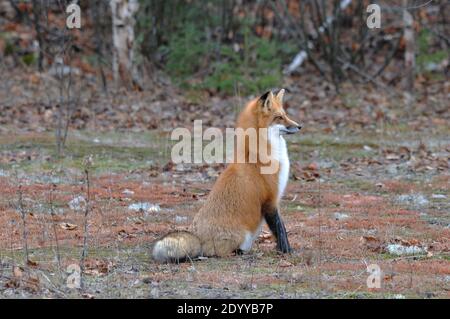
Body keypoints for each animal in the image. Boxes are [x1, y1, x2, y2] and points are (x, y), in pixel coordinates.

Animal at [151, 89, 302, 262]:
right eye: (279, 117)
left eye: (285, 115)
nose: (299, 126)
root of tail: (198, 238)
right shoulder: (270, 200)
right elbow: (280, 230)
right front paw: (287, 251)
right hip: (241, 235)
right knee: (218, 253)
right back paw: (240, 252)